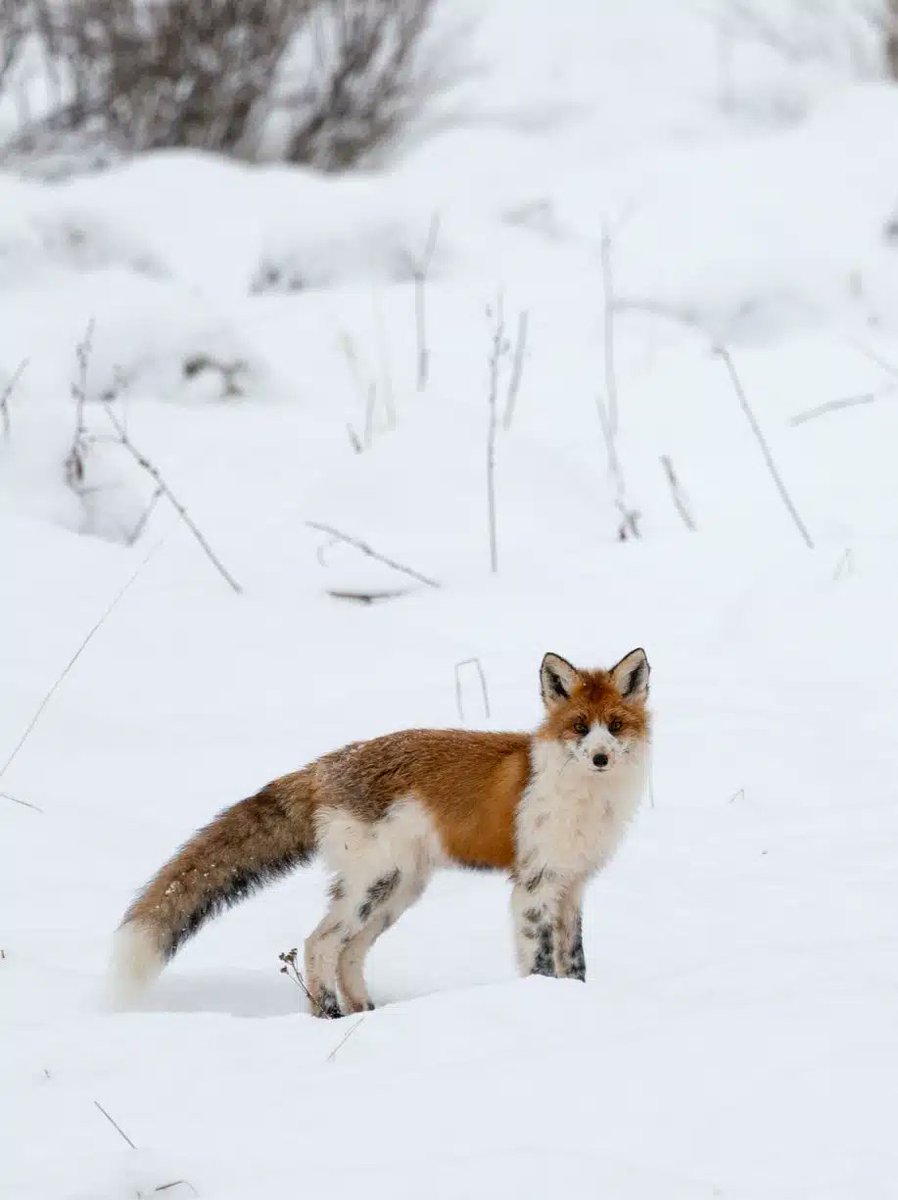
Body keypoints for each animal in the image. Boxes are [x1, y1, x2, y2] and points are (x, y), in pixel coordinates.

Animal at [113, 648, 650, 1017]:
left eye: (614, 726)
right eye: (579, 727)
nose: (600, 758)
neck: (584, 801)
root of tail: (324, 765)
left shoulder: (573, 885)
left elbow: (575, 962)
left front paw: (575, 1001)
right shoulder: (533, 885)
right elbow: (538, 960)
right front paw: (541, 1001)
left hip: (398, 890)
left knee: (349, 952)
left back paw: (364, 1014)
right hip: (375, 884)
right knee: (320, 944)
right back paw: (329, 1016)